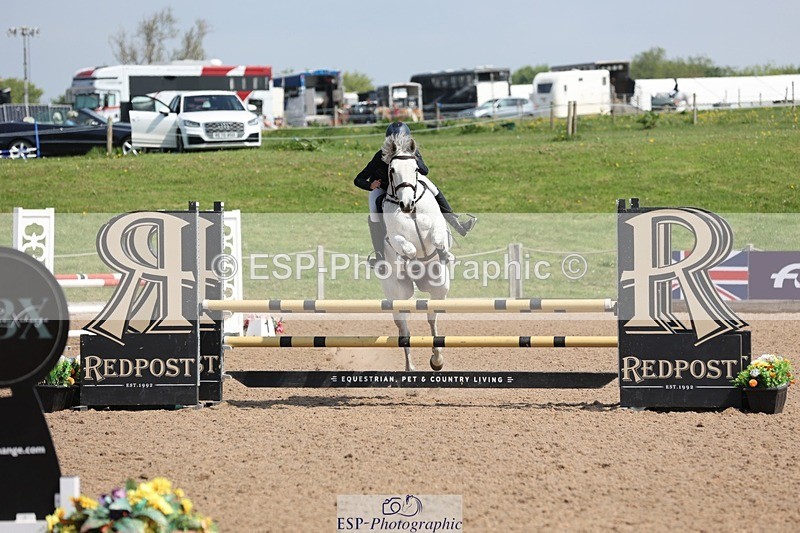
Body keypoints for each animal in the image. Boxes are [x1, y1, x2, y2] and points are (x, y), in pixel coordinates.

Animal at [377, 132, 451, 372]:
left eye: (416, 168)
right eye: (391, 170)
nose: (407, 204)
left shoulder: (438, 226)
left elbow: (437, 237)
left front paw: (443, 253)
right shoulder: (394, 238)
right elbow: (406, 246)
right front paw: (408, 260)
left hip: (439, 288)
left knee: (432, 316)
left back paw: (437, 359)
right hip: (397, 295)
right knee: (404, 330)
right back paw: (410, 368)